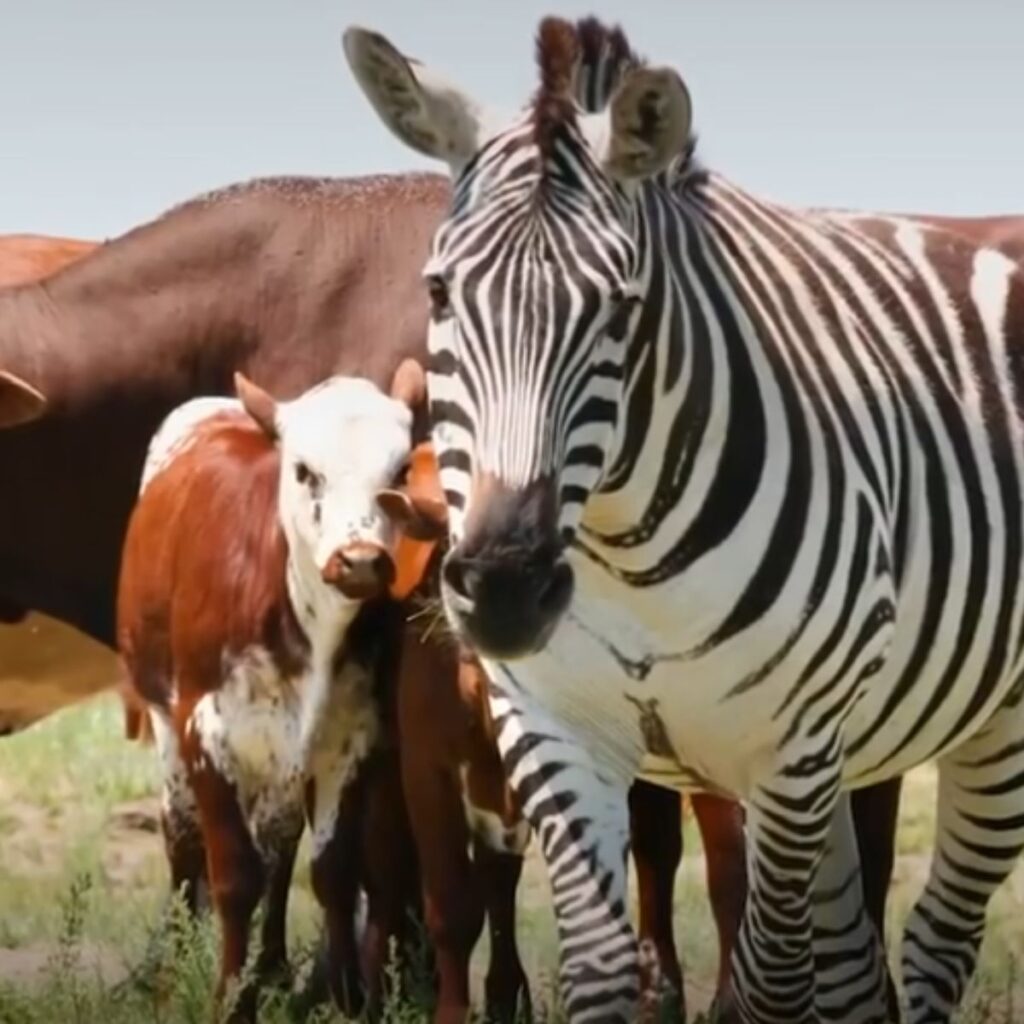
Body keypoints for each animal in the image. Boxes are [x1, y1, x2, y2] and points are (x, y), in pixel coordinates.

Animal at [117, 358, 444, 1015]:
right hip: (167, 723)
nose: (360, 559)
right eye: (303, 471)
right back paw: (175, 966)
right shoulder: (204, 731)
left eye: (399, 472)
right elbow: (234, 875)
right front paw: (229, 997)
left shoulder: (349, 740)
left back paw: (270, 967)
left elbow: (332, 872)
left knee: (278, 844)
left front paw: (348, 998)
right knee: (182, 838)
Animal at [348, 16, 1024, 1024]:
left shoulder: (787, 750)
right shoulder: (554, 727)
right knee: (856, 965)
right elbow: (599, 968)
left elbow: (772, 985)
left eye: (620, 309)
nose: (504, 588)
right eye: (438, 294)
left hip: (987, 725)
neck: (627, 559)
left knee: (937, 937)